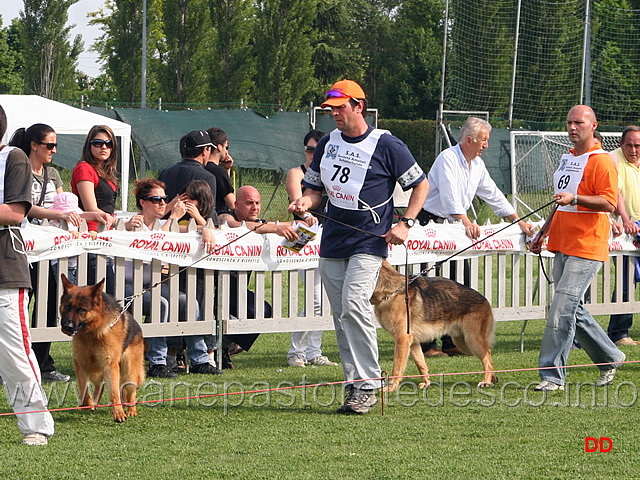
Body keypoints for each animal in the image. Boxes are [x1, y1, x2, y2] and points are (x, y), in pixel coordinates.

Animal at [59, 276, 146, 422]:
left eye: (81, 310)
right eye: (67, 307)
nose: (67, 326)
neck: (92, 332)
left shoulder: (110, 366)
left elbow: (115, 393)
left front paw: (119, 413)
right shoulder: (81, 364)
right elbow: (83, 389)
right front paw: (88, 404)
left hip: (129, 371)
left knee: (130, 389)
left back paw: (131, 409)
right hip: (97, 369)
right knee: (100, 386)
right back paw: (95, 403)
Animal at [370, 260, 500, 392]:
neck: (391, 292)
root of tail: (485, 300)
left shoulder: (402, 339)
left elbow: (397, 367)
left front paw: (391, 387)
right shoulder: (413, 343)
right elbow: (421, 364)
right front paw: (426, 383)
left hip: (472, 341)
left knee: (487, 357)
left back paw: (486, 381)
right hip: (463, 343)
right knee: (488, 354)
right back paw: (492, 377)